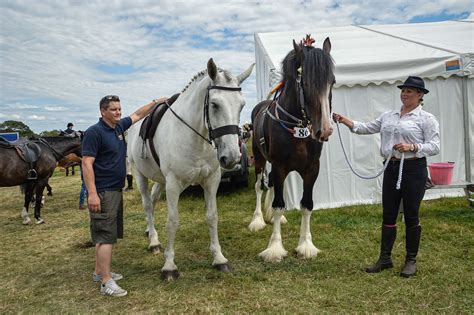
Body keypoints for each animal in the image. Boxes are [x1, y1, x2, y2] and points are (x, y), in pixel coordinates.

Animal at [125, 59, 252, 282]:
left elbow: (212, 216)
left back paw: (150, 230)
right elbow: (173, 221)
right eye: (214, 104)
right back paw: (154, 241)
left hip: (160, 180)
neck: (194, 137)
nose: (231, 157)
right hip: (140, 175)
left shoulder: (211, 181)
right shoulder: (174, 183)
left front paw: (219, 258)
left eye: (242, 105)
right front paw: (169, 266)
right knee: (147, 204)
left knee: (153, 199)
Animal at [246, 35, 336, 262]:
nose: (325, 130)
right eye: (305, 82)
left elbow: (306, 205)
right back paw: (258, 220)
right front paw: (275, 247)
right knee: (259, 186)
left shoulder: (312, 169)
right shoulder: (279, 166)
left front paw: (306, 245)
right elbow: (278, 204)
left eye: (332, 82)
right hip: (259, 159)